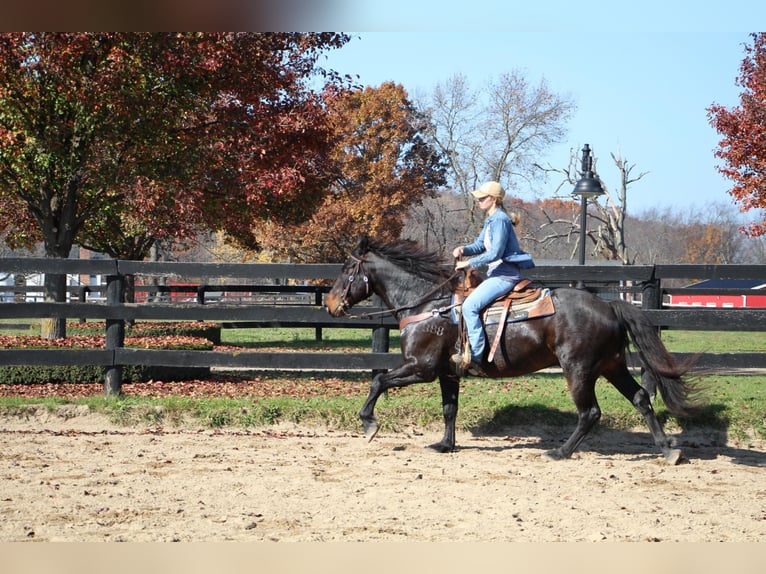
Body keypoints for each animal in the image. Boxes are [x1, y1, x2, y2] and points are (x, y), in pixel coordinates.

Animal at [324, 236, 704, 466]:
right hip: (612, 366)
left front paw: (369, 424)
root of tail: (610, 307)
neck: (428, 305)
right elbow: (449, 409)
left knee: (590, 412)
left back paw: (560, 451)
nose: (329, 304)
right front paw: (445, 444)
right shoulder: (447, 373)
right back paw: (668, 450)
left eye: (346, 269)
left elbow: (378, 381)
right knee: (641, 398)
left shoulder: (421, 368)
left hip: (579, 370)